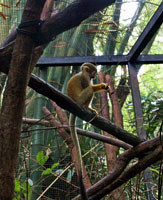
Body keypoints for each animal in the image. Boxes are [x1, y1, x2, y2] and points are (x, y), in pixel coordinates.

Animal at [66, 62, 108, 198]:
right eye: (92, 72)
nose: (94, 76)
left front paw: (103, 86)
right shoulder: (84, 78)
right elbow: (89, 87)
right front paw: (101, 85)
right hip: (80, 99)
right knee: (89, 90)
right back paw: (86, 107)